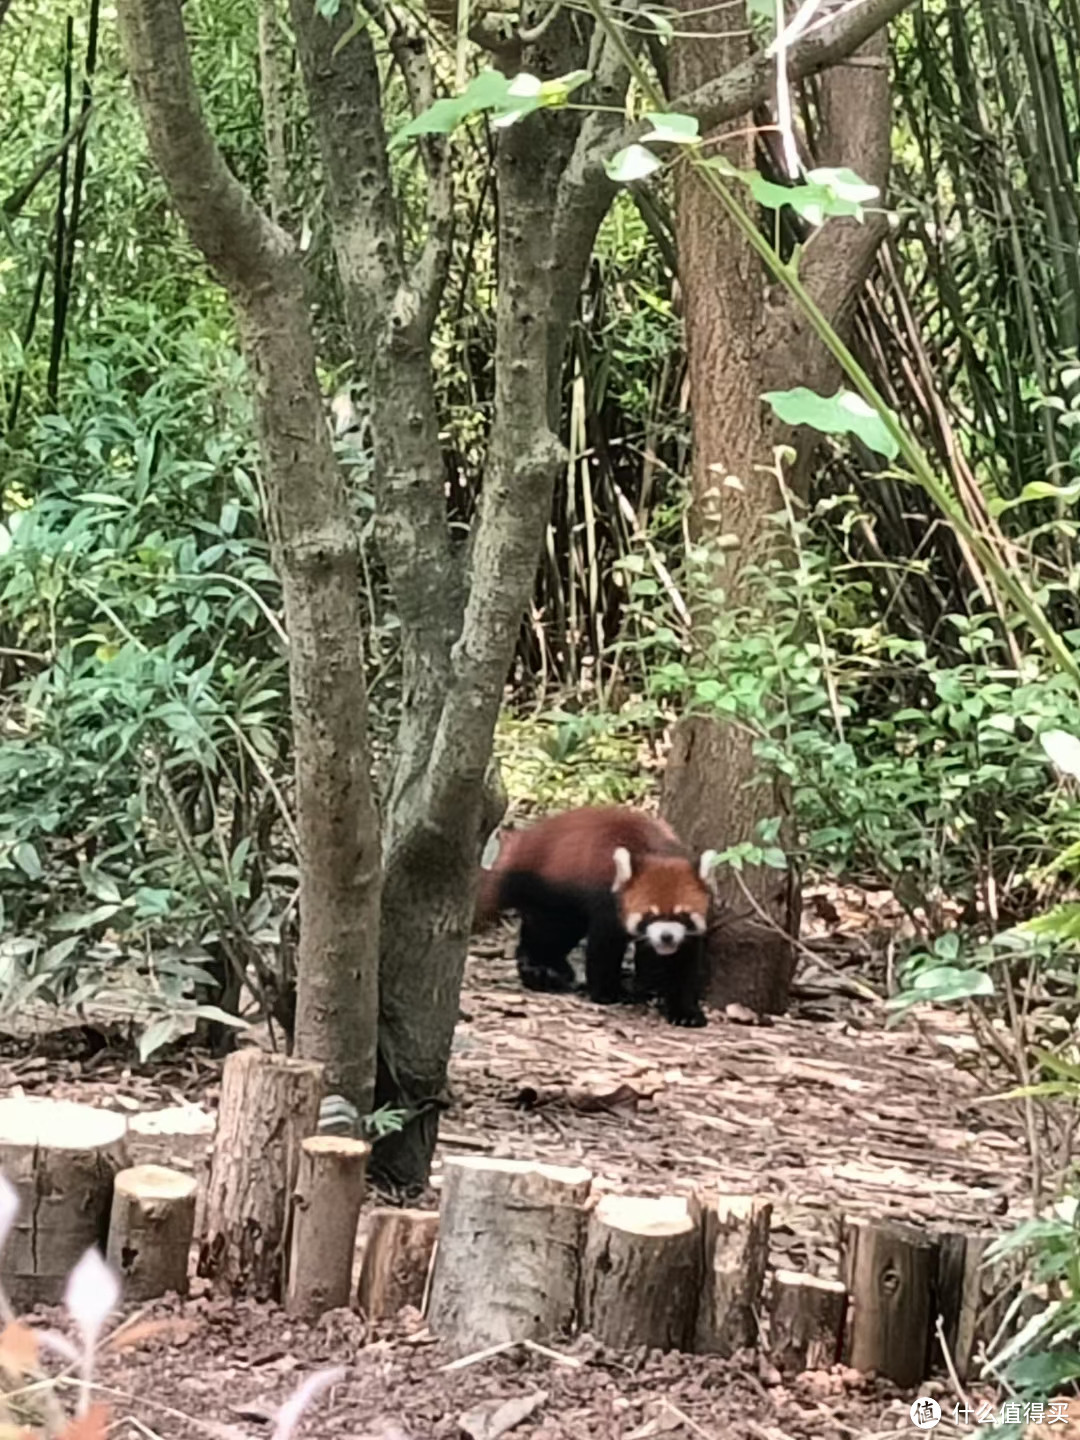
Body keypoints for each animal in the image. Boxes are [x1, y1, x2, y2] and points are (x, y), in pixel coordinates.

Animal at [475, 812, 720, 1025]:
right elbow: (604, 951)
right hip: (551, 887)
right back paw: (539, 970)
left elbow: (683, 964)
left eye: (682, 915)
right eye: (650, 915)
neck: (657, 851)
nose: (666, 936)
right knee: (550, 932)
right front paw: (609, 993)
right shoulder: (607, 902)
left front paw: (685, 1010)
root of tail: (520, 845)